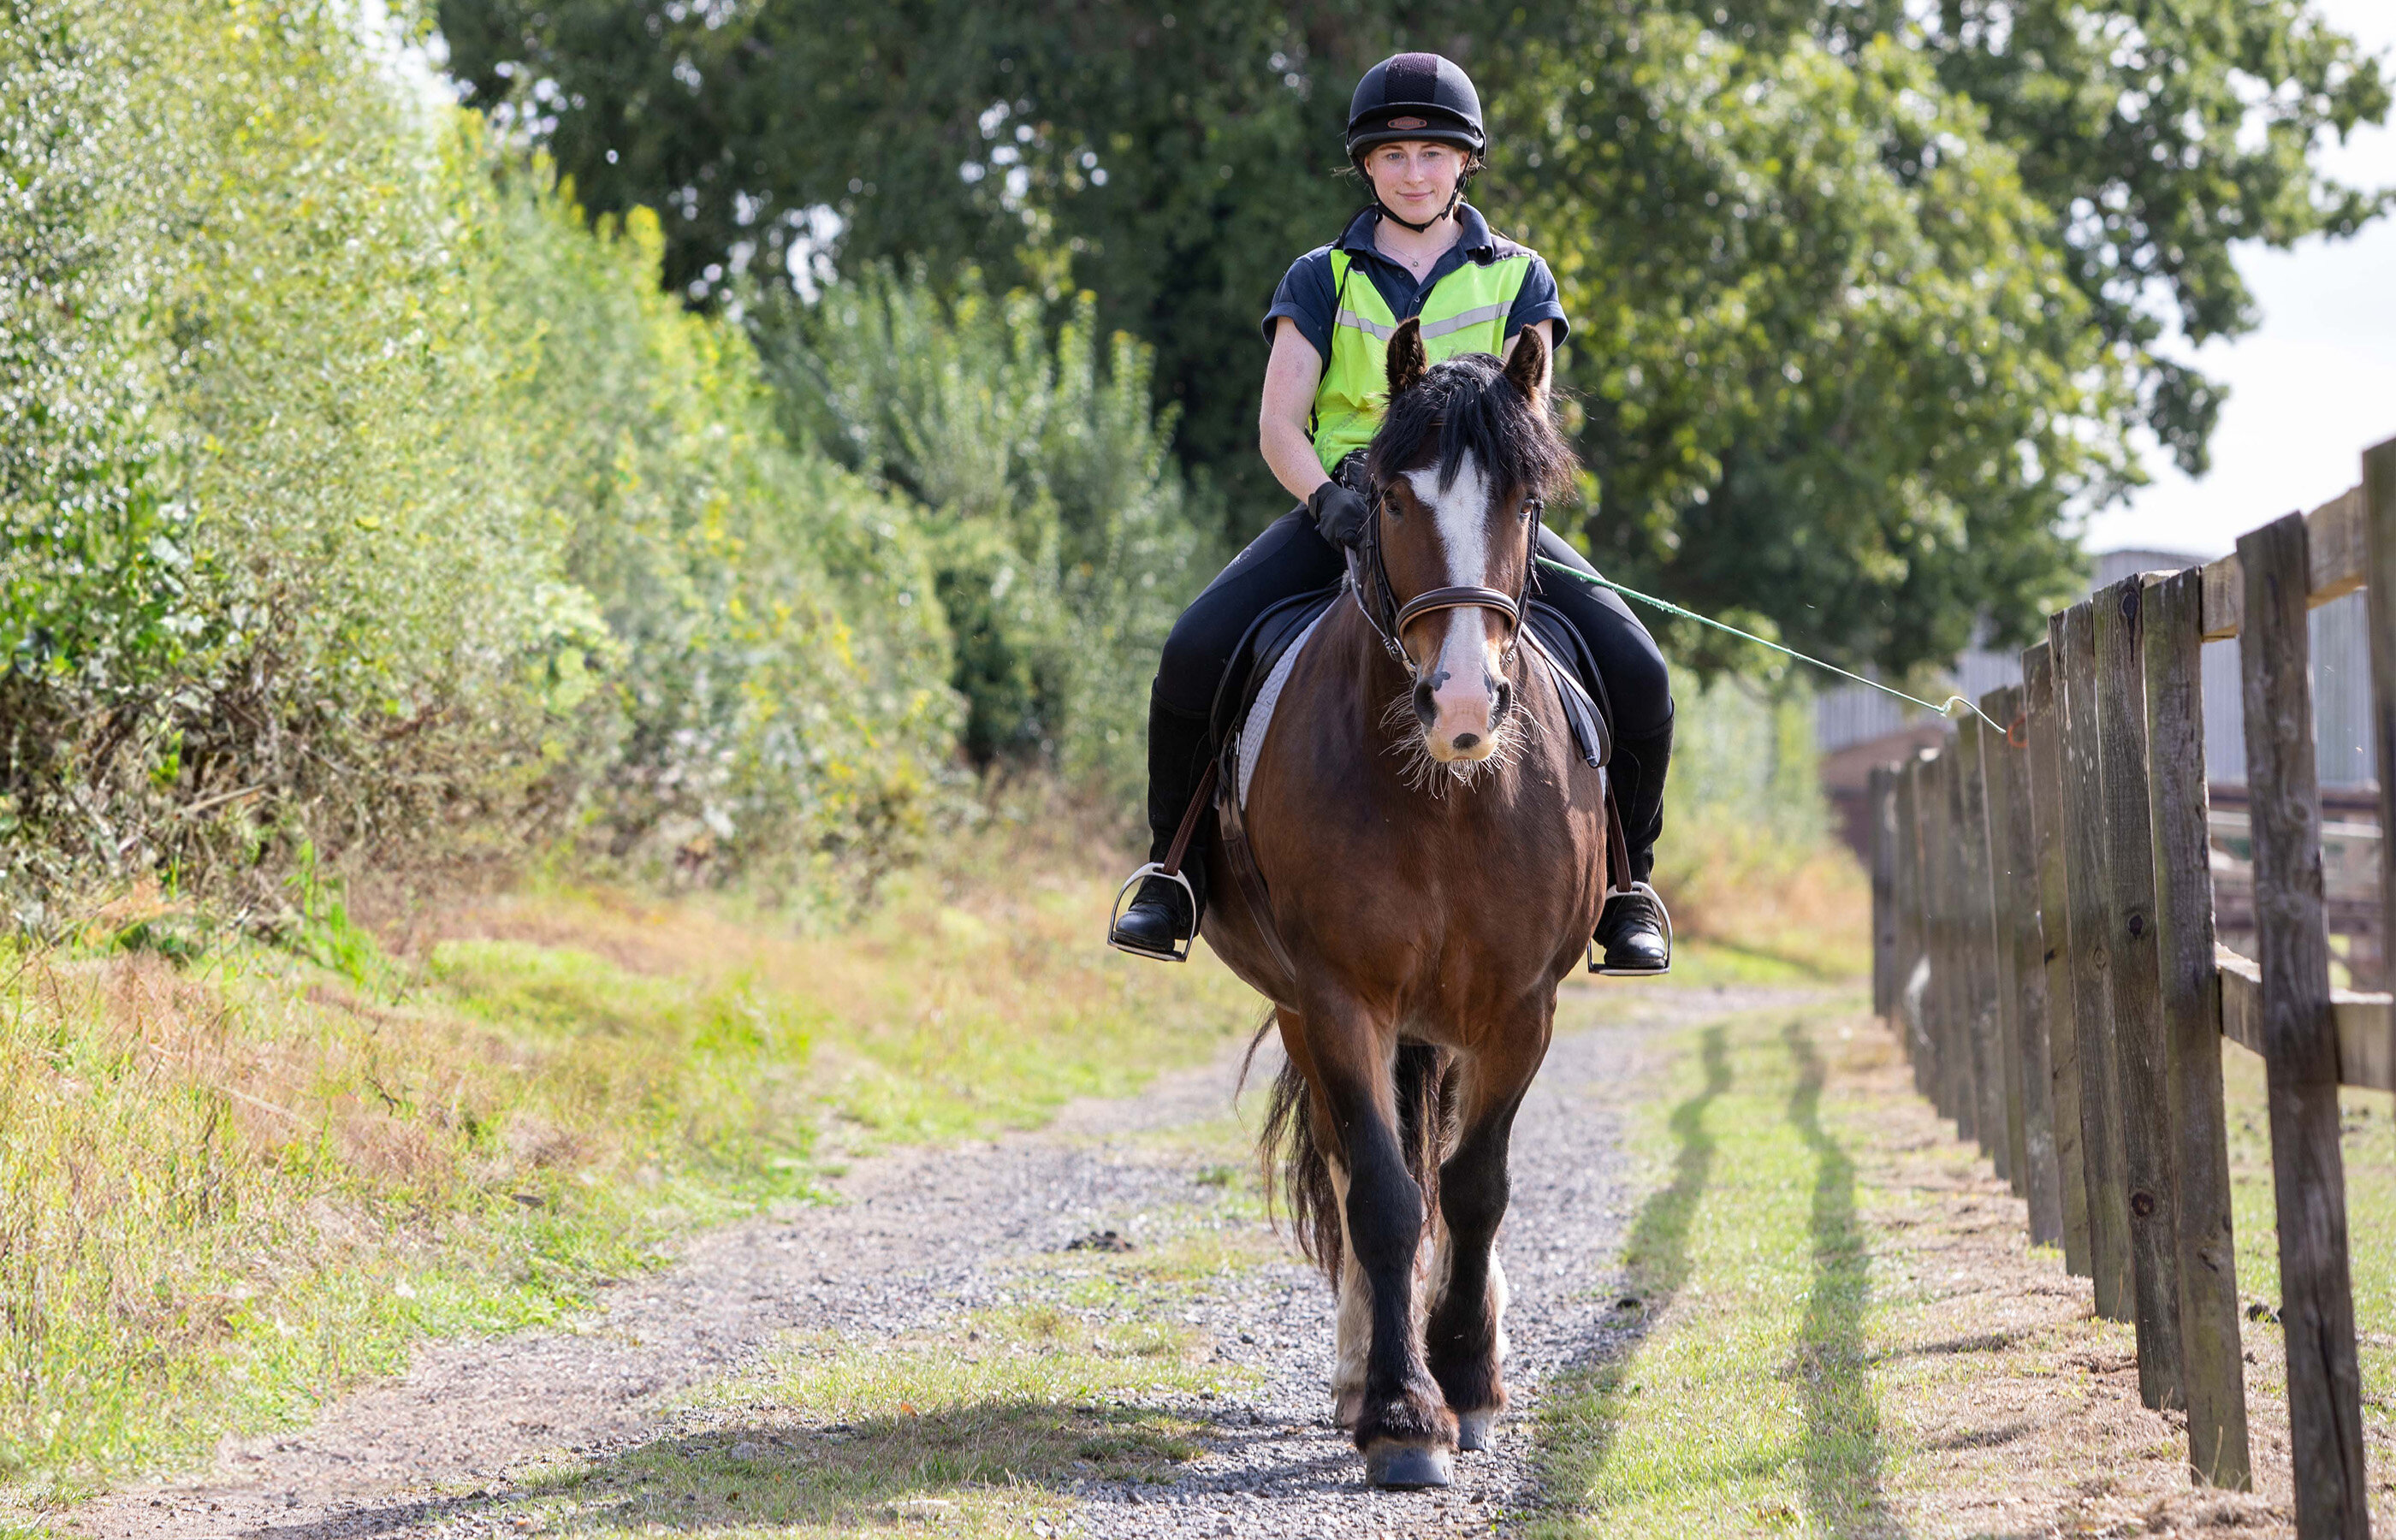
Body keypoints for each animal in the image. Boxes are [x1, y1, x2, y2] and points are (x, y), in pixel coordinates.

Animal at [1202, 316, 1607, 1488]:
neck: (1446, 800)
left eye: (1524, 499)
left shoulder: (1521, 1006)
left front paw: (1464, 1380)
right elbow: (1383, 1195)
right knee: (1355, 1172)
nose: (1463, 703)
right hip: (1308, 1009)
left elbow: (1475, 1186)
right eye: (1385, 496)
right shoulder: (1340, 998)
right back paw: (1357, 1373)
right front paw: (1398, 1413)